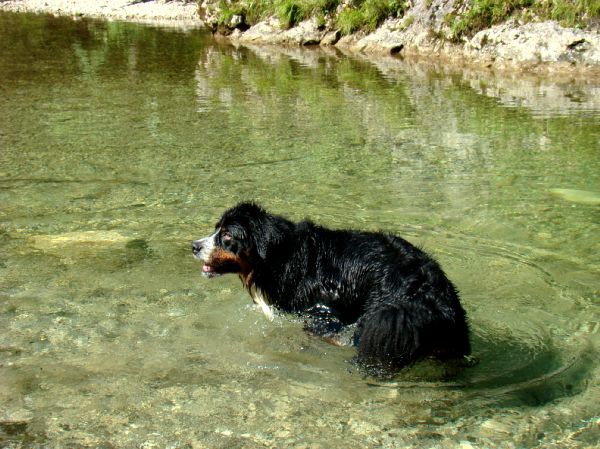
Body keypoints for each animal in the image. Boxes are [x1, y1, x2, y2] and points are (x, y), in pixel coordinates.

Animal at [192, 202, 468, 372]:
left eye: (227, 236)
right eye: (216, 229)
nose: (194, 246)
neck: (283, 256)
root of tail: (428, 291)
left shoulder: (323, 312)